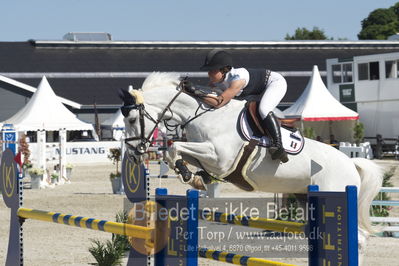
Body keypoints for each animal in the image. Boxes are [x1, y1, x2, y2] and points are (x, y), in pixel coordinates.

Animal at [121, 72, 384, 260]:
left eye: (132, 119)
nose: (134, 154)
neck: (205, 115)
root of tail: (351, 162)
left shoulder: (220, 158)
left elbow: (175, 147)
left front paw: (188, 175)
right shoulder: (206, 154)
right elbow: (173, 152)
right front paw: (195, 176)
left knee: (358, 239)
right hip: (306, 197)